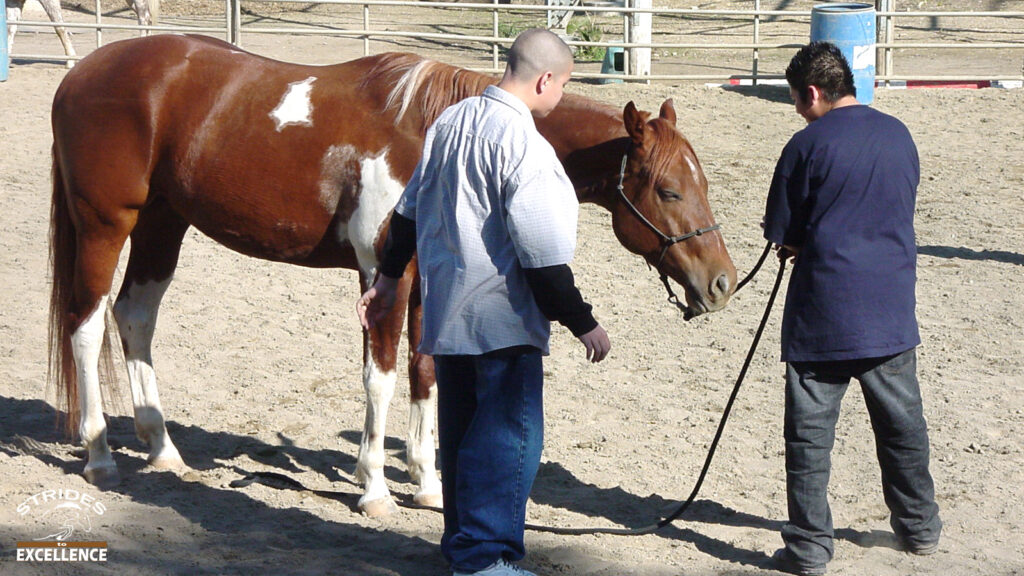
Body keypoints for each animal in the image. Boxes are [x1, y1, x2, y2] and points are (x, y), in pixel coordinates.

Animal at [49, 33, 737, 512]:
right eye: (670, 191)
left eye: (702, 183)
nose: (723, 282)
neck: (432, 134)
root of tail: (81, 72)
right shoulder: (385, 275)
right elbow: (378, 379)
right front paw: (375, 487)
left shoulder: (429, 280)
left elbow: (425, 372)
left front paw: (428, 483)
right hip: (106, 226)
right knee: (86, 324)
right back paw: (100, 455)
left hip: (163, 225)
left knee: (135, 319)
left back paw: (163, 449)